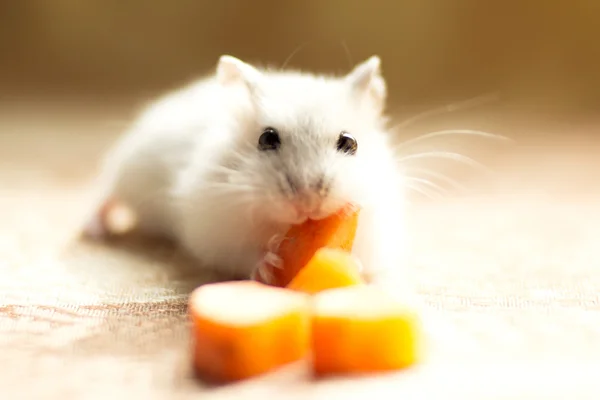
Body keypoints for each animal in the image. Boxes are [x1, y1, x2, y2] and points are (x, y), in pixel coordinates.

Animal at [84, 54, 410, 294]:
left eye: (349, 142)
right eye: (266, 139)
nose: (307, 205)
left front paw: (350, 264)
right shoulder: (215, 228)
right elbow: (243, 253)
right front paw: (270, 262)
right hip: (127, 166)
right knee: (106, 192)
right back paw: (94, 229)